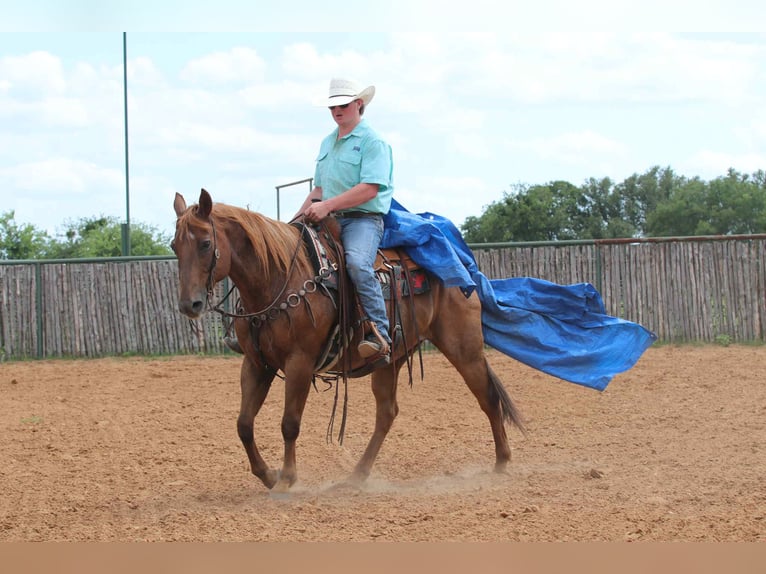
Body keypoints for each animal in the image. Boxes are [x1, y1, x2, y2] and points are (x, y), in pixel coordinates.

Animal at [172, 188, 525, 492]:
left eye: (205, 243)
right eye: (175, 246)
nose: (190, 305)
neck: (279, 278)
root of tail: (464, 270)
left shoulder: (299, 362)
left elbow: (289, 423)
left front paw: (287, 480)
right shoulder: (257, 363)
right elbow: (244, 424)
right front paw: (269, 475)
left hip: (463, 347)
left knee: (487, 397)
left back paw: (502, 463)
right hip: (391, 358)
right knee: (387, 413)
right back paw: (356, 476)